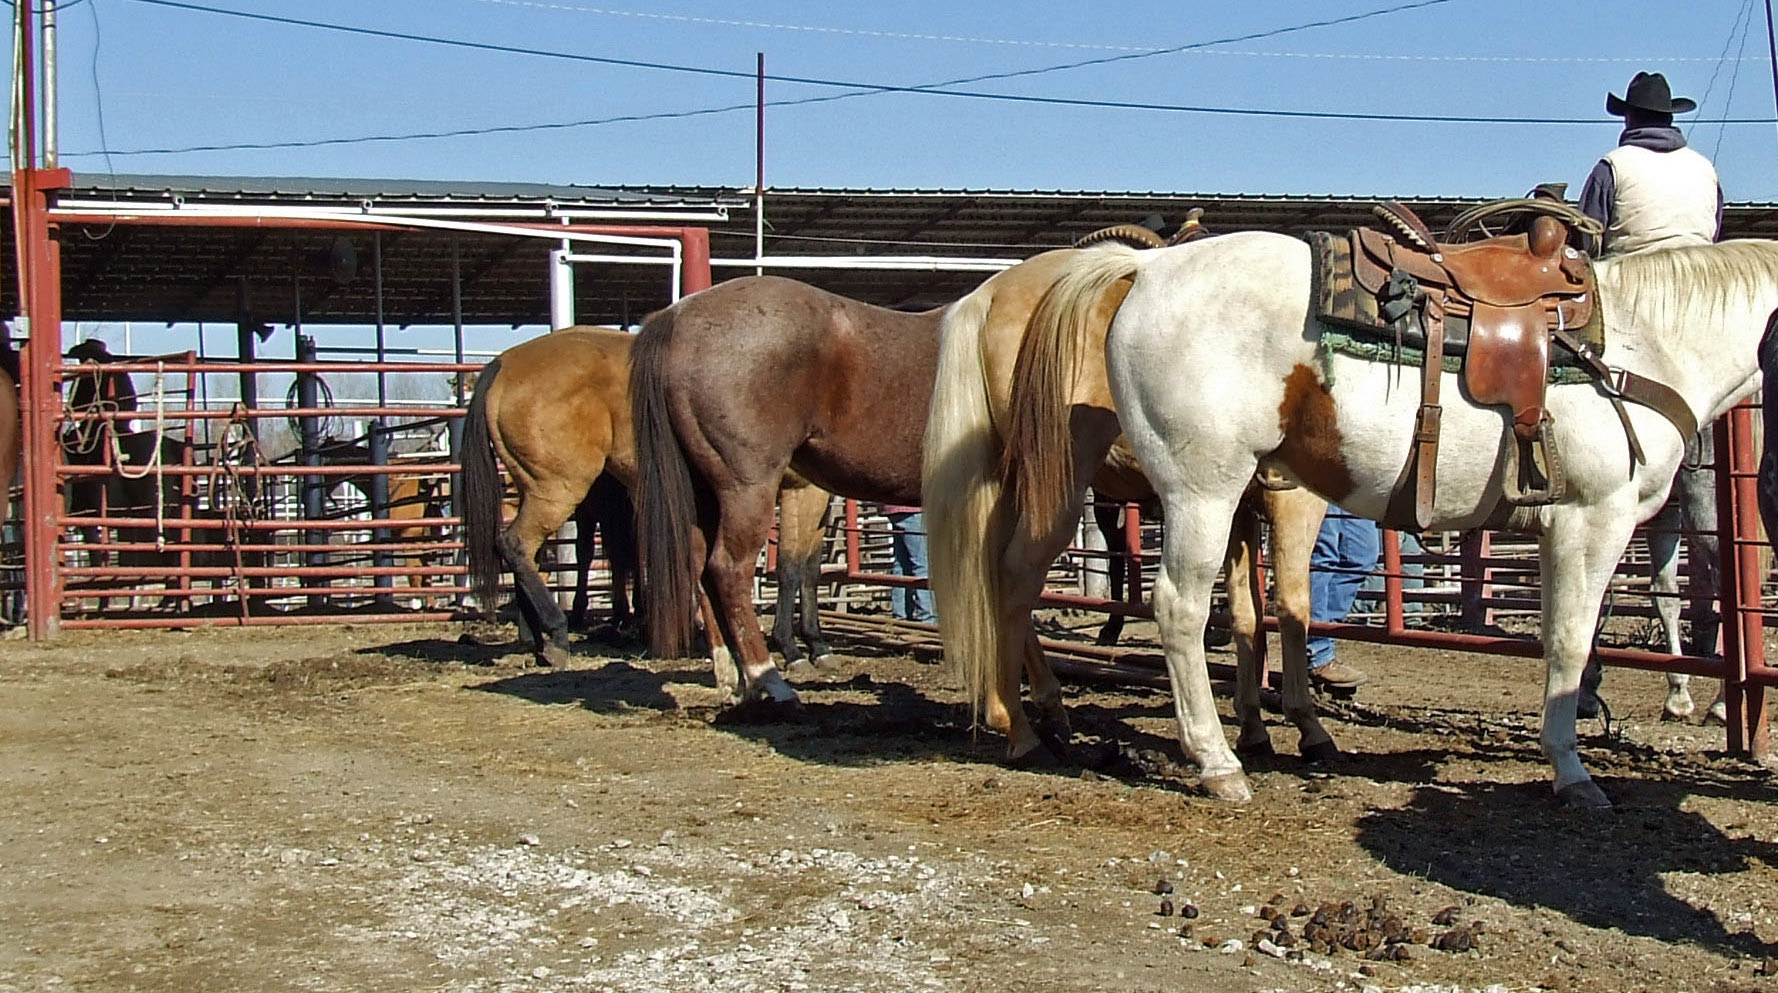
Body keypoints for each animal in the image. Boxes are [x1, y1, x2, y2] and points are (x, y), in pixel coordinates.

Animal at [465, 327, 839, 669]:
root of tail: (503, 363)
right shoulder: (802, 491)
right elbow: (791, 567)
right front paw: (791, 647)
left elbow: (811, 568)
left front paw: (816, 643)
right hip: (558, 490)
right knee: (517, 545)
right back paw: (556, 634)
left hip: (534, 489)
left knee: (527, 552)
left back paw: (537, 638)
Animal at [1052, 226, 1778, 811]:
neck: (1643, 345)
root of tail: (1147, 269)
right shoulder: (1593, 518)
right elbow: (1572, 642)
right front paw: (1573, 773)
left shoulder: (1563, 528)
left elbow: (1565, 637)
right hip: (1201, 492)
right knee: (1179, 608)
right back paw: (1216, 761)